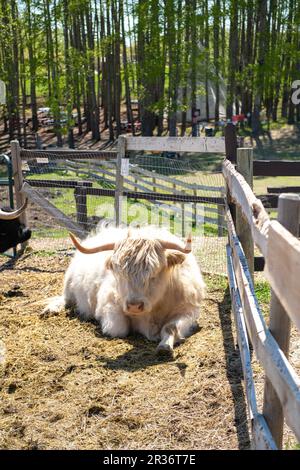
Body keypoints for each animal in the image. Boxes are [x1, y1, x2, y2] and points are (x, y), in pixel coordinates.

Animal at [43, 227, 205, 352]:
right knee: (65, 298)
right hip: (69, 282)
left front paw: (165, 346)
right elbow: (119, 329)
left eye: (154, 273)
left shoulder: (187, 310)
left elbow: (171, 327)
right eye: (120, 273)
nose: (134, 306)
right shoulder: (110, 306)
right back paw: (50, 309)